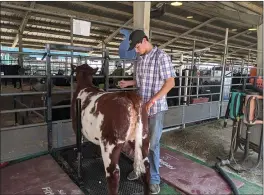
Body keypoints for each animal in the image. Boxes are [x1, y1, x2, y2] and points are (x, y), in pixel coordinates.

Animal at [70, 64, 151, 195]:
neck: (85, 85)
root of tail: (127, 95)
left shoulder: (75, 125)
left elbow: (79, 143)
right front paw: (96, 154)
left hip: (110, 145)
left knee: (113, 174)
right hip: (143, 138)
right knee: (146, 166)